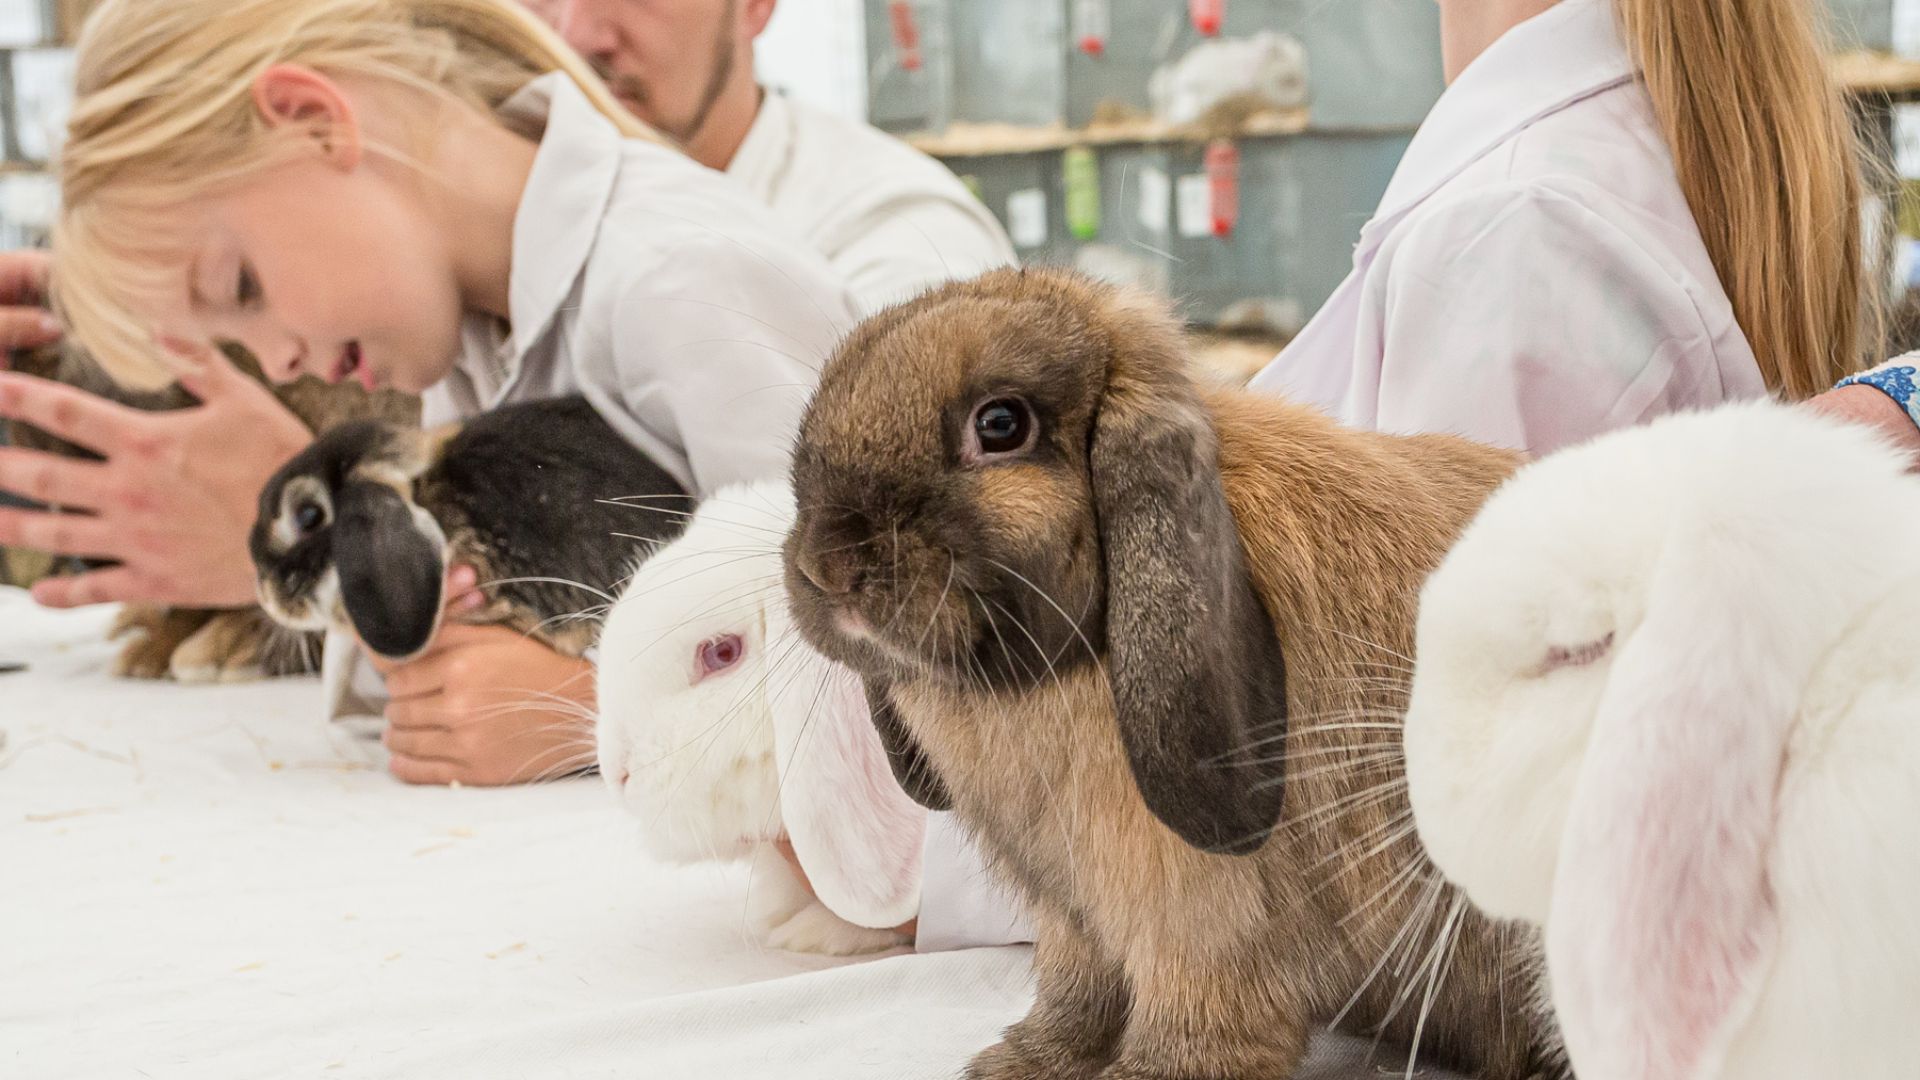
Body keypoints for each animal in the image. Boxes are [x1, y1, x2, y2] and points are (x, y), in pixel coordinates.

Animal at [780, 267, 1567, 1080]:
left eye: (1000, 425)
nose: (827, 566)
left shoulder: (1200, 918)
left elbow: (1197, 1011)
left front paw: (1150, 1073)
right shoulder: (1075, 917)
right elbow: (1076, 994)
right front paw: (1021, 1063)